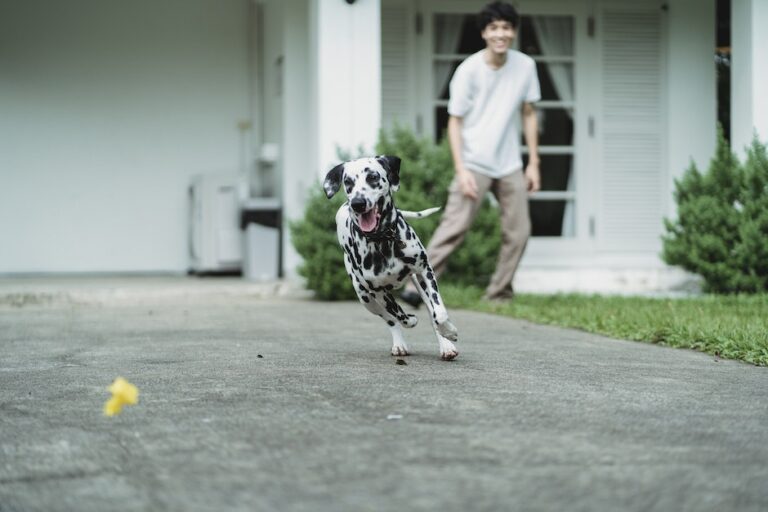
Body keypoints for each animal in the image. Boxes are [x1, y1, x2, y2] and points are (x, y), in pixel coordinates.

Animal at [322, 156, 460, 360]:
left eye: (372, 177)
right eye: (348, 182)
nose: (358, 203)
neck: (383, 240)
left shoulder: (425, 271)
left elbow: (439, 313)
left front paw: (449, 332)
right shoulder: (378, 291)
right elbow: (398, 315)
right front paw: (410, 319)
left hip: (417, 284)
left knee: (431, 312)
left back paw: (446, 345)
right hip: (366, 298)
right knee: (390, 319)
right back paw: (399, 344)